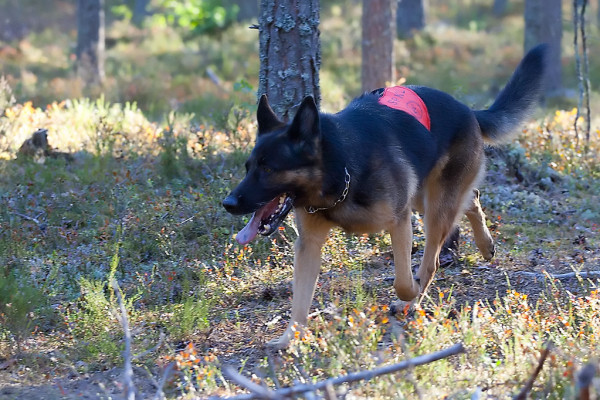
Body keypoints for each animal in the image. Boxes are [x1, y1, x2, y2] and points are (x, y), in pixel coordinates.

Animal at [223, 43, 548, 348]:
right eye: (248, 167)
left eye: (268, 169)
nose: (228, 203)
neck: (341, 167)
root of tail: (469, 110)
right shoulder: (309, 245)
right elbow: (299, 300)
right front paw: (290, 338)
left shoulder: (399, 223)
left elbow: (404, 280)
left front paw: (410, 294)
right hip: (423, 197)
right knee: (472, 197)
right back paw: (486, 244)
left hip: (433, 209)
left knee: (432, 260)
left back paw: (415, 299)